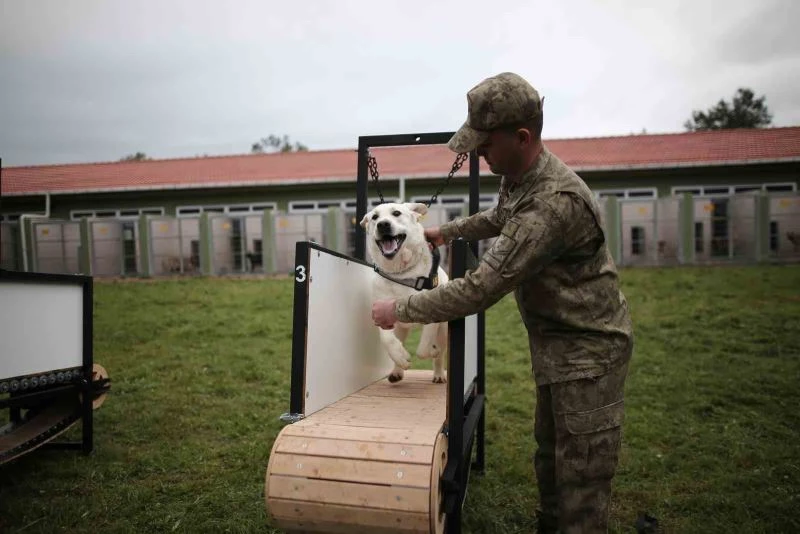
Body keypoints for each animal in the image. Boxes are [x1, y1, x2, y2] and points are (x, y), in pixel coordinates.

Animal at [360, 202, 446, 386]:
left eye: (396, 213)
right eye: (374, 217)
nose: (383, 225)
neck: (401, 275)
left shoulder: (431, 314)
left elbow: (423, 348)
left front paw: (432, 351)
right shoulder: (382, 312)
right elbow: (387, 339)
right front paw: (402, 358)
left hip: (443, 330)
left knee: (441, 352)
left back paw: (438, 374)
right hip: (401, 327)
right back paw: (396, 372)